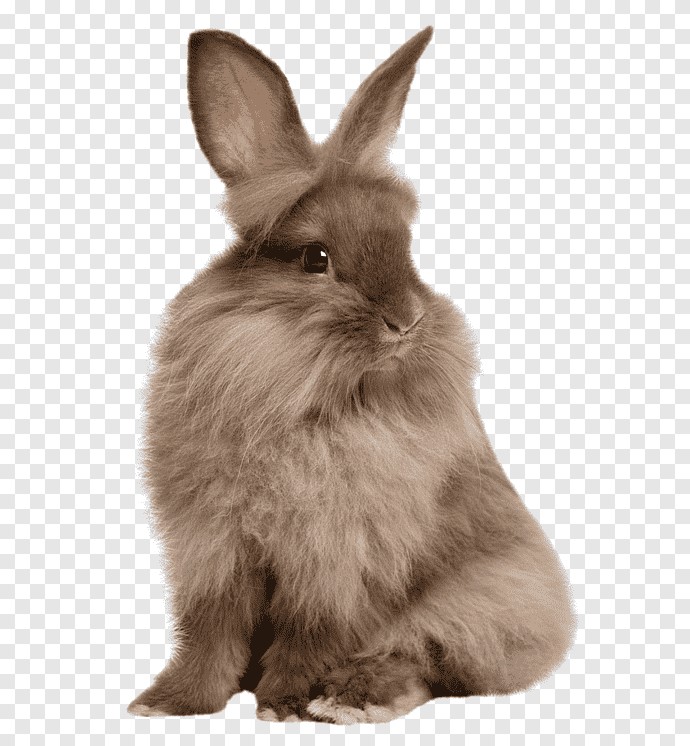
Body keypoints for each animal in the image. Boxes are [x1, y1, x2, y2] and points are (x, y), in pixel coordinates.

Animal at [127, 27, 576, 724]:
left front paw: (283, 704)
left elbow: (311, 636)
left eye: (405, 246)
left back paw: (350, 700)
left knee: (427, 660)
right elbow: (211, 635)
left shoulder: (337, 564)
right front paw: (171, 703)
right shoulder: (215, 552)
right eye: (316, 258)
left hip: (483, 599)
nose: (406, 321)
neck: (305, 398)